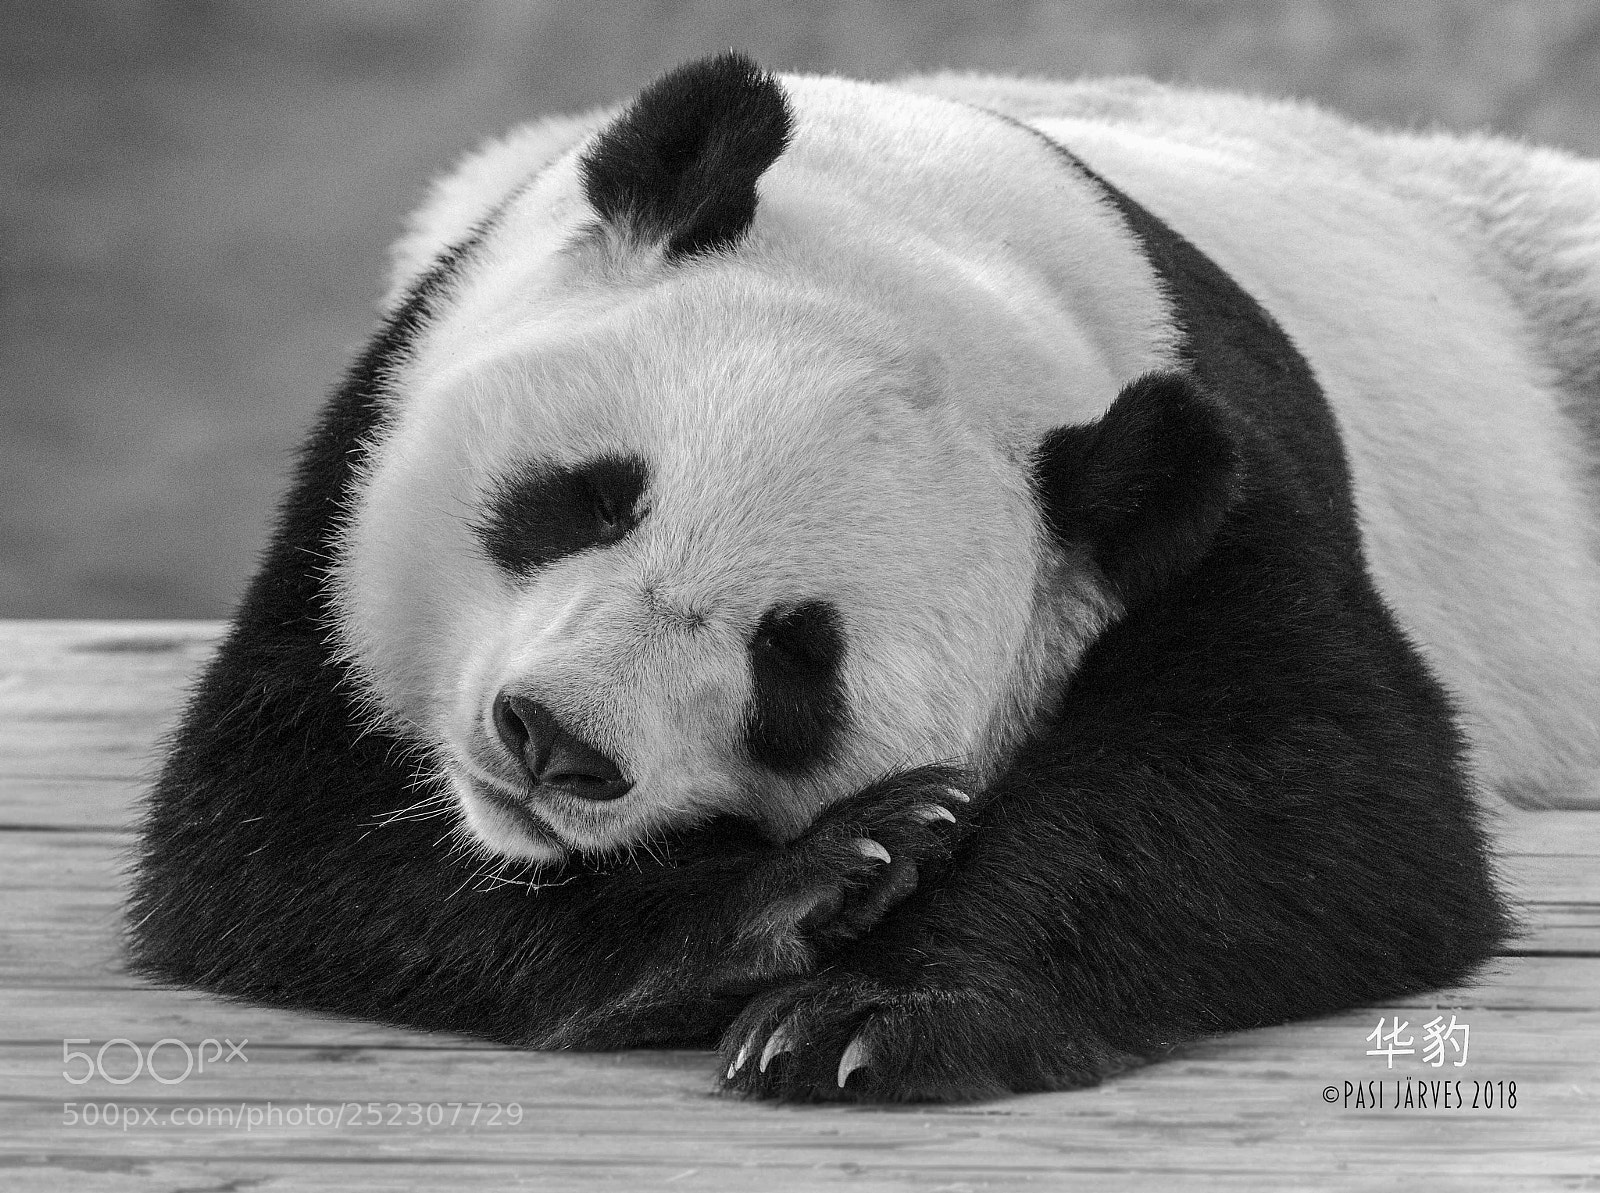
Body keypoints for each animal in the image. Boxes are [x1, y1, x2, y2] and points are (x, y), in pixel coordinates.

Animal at [127, 52, 1600, 1103]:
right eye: (589, 496)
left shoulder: (1215, 497)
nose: (554, 744)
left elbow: (1315, 812)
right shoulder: (373, 436)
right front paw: (808, 890)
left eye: (797, 655)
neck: (943, 232)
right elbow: (271, 837)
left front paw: (869, 1016)